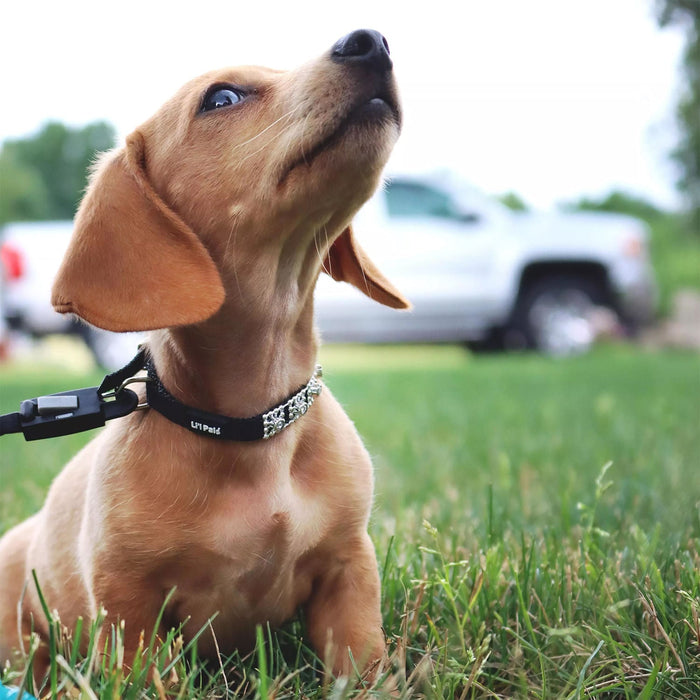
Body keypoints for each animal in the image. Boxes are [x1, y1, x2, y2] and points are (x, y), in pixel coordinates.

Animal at [0, 30, 410, 688]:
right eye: (222, 97)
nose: (369, 39)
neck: (249, 428)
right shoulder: (129, 605)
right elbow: (144, 676)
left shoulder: (349, 567)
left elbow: (361, 660)